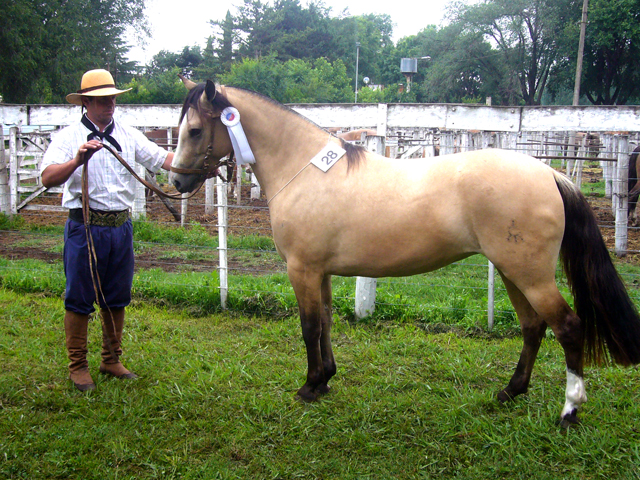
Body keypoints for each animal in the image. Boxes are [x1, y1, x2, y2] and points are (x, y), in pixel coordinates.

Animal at [166, 79, 640, 428]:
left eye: (195, 130)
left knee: (568, 327)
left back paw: (569, 410)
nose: (177, 183)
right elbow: (326, 322)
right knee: (533, 327)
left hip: (530, 274)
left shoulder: (301, 268)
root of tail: (549, 173)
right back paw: (510, 391)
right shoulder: (321, 271)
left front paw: (309, 386)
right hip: (513, 271)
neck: (304, 170)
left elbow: (308, 327)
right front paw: (326, 380)